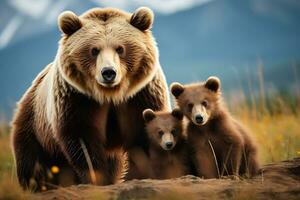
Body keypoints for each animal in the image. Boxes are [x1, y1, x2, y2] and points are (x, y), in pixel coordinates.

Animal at [10, 5, 170, 191]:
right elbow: (83, 141)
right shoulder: (77, 99)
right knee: (33, 162)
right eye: (94, 50)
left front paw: (141, 175)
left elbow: (143, 134)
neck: (110, 95)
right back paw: (37, 186)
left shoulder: (140, 96)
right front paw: (97, 178)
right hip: (35, 127)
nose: (108, 72)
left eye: (120, 49)